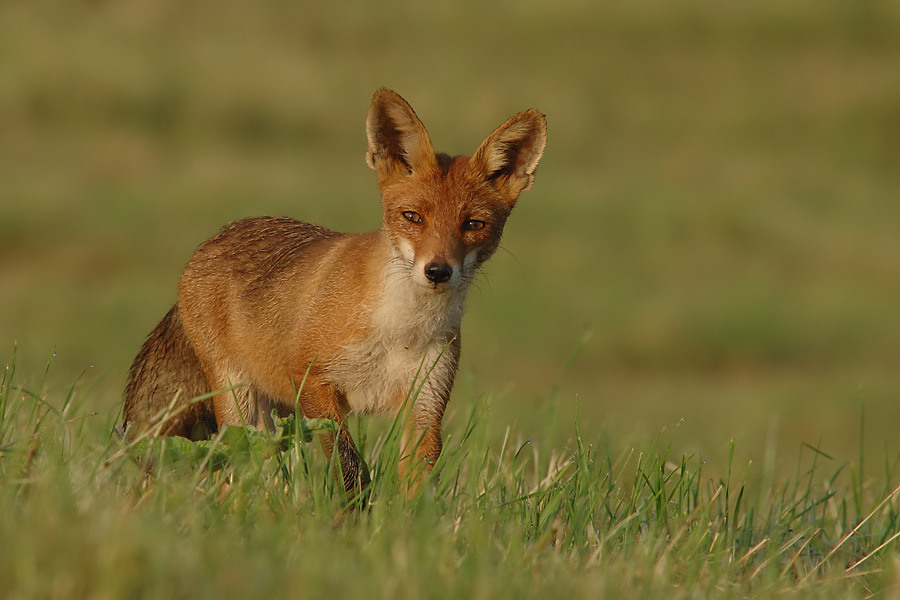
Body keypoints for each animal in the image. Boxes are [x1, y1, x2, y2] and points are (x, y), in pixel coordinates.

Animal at [124, 86, 548, 494]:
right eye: (413, 217)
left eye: (474, 224)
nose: (438, 272)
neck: (399, 332)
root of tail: (213, 239)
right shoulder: (312, 380)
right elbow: (349, 466)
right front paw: (353, 513)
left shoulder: (426, 402)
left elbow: (418, 486)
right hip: (240, 400)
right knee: (235, 473)